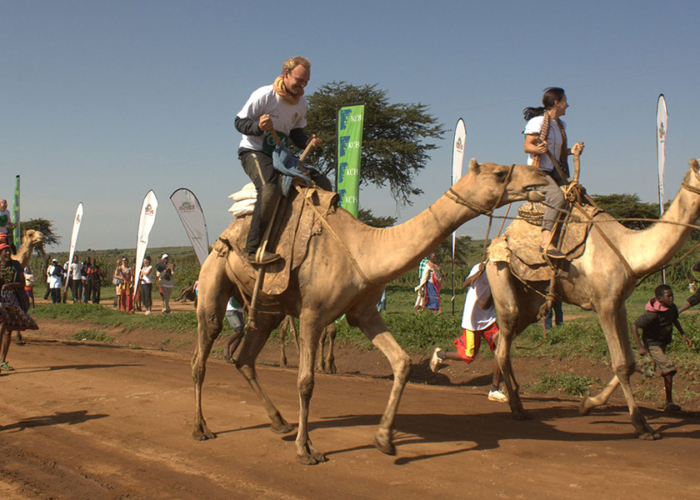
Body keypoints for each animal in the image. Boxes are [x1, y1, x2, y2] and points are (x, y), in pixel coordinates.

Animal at [191, 158, 548, 462]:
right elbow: (306, 381)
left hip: (267, 308)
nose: (540, 177)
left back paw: (279, 422)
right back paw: (201, 428)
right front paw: (306, 450)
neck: (364, 249)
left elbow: (402, 362)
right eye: (499, 173)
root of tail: (222, 237)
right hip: (212, 282)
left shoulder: (363, 312)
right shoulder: (312, 315)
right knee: (202, 353)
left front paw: (384, 439)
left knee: (245, 359)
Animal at [486, 158, 700, 440]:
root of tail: (497, 241)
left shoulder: (618, 303)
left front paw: (588, 404)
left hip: (530, 304)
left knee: (502, 339)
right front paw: (641, 425)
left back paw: (517, 399)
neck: (629, 250)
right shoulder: (603, 303)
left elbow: (630, 361)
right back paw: (517, 409)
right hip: (499, 274)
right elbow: (620, 363)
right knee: (502, 342)